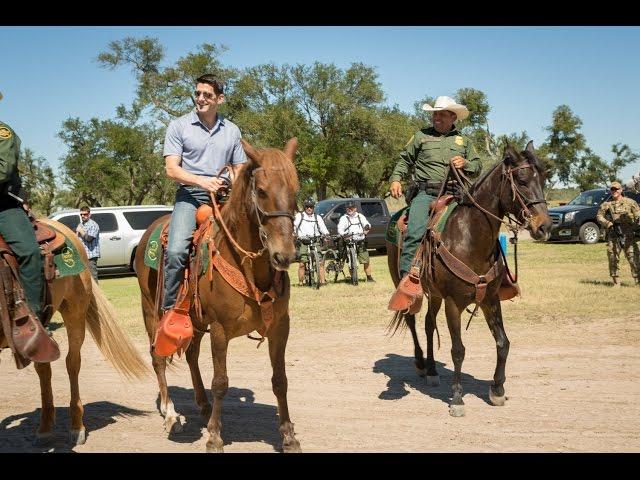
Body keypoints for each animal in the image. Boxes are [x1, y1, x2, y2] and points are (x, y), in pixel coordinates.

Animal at [133, 137, 302, 452]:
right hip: (151, 310)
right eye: (261, 191)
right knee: (157, 357)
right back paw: (170, 412)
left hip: (196, 323)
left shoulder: (280, 327)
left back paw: (202, 406)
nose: (284, 256)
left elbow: (280, 379)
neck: (249, 268)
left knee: (191, 356)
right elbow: (221, 382)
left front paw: (288, 435)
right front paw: (214, 436)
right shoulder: (221, 330)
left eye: (295, 190)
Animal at [388, 142, 552, 416]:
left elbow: (503, 343)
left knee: (429, 324)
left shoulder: (490, 299)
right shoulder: (454, 303)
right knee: (411, 320)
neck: (470, 236)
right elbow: (458, 350)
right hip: (408, 286)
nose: (545, 226)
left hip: (435, 294)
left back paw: (432, 370)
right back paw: (420, 363)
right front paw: (457, 398)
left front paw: (497, 389)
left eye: (543, 179)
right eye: (521, 180)